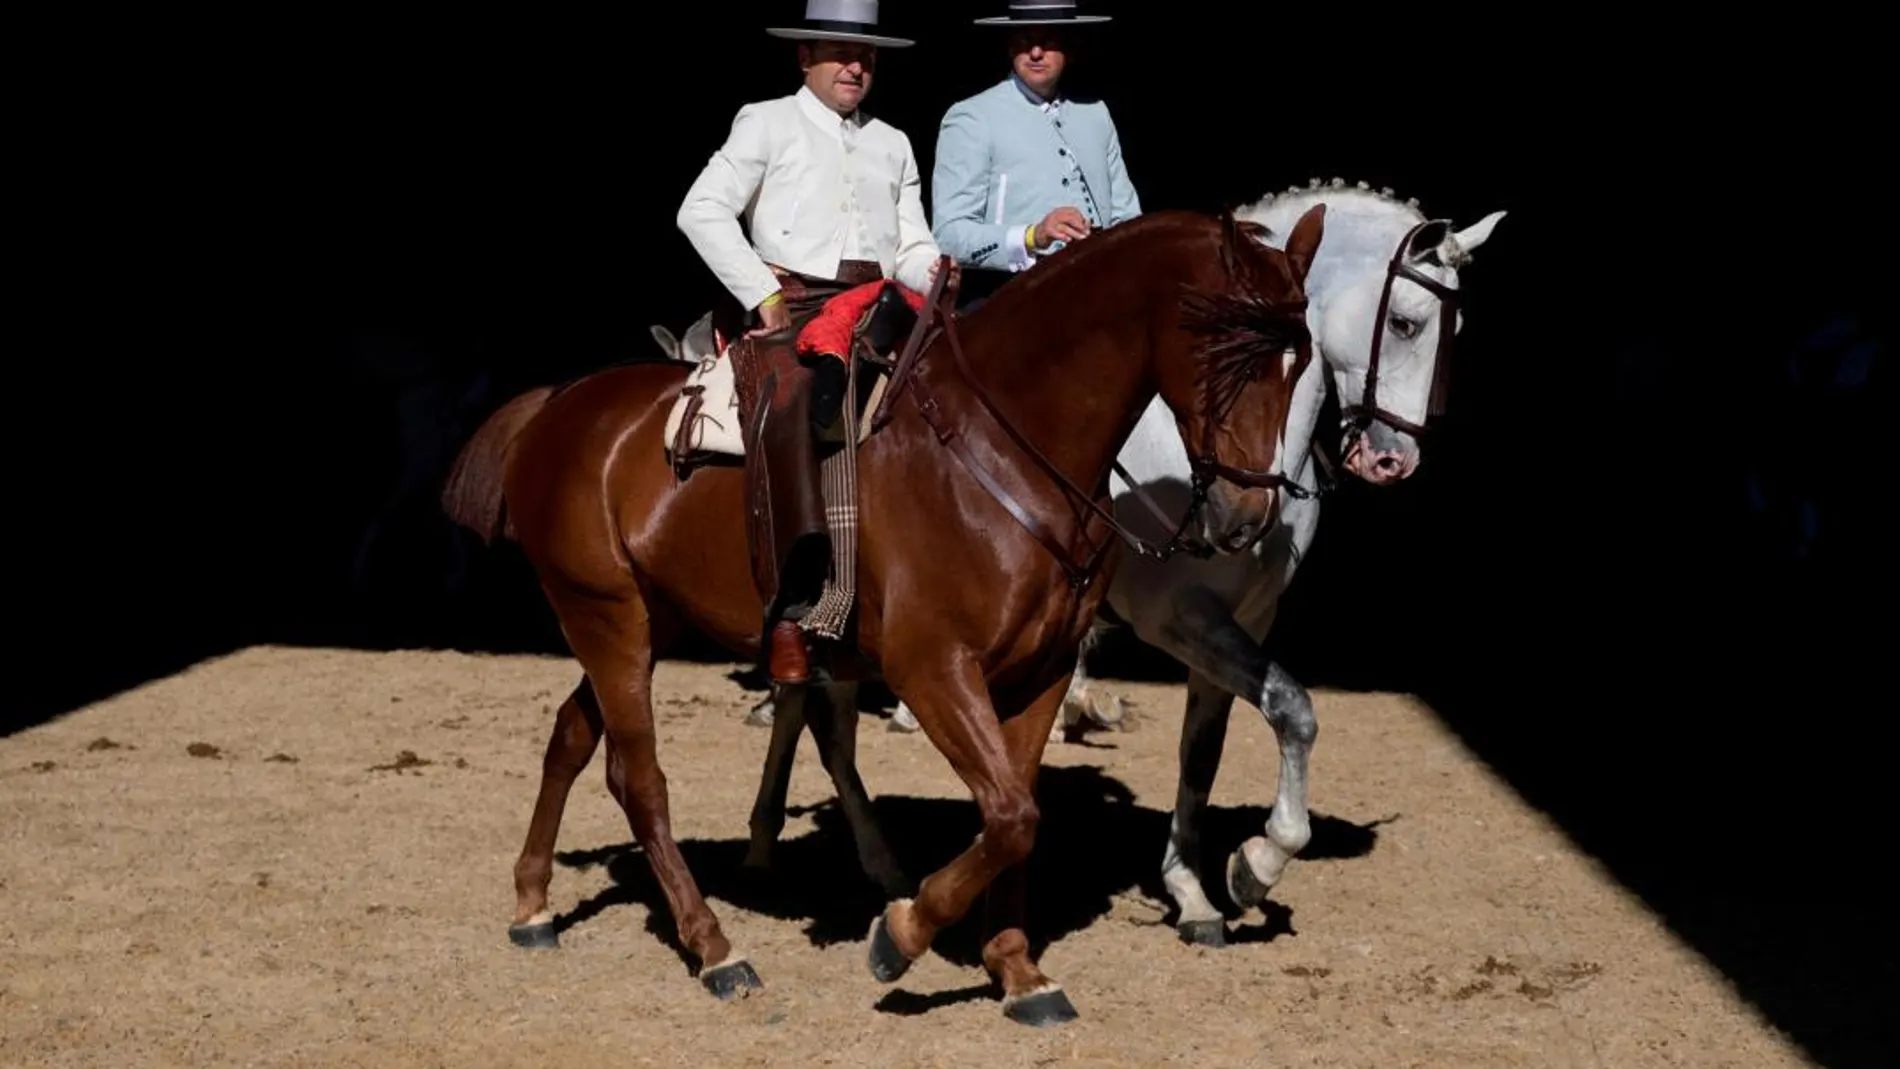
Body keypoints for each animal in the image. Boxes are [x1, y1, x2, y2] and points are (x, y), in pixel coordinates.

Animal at [438, 203, 1330, 1025]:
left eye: (1300, 365)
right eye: (1227, 352)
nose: (1246, 517)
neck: (1002, 446)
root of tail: (558, 404)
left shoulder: (1042, 669)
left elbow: (1016, 809)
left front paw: (1019, 971)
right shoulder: (931, 666)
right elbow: (1010, 814)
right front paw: (900, 934)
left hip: (645, 622)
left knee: (573, 736)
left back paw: (532, 903)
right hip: (609, 619)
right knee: (640, 777)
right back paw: (716, 946)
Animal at [661, 184, 1504, 937]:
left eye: (1455, 331)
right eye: (1407, 322)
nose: (1392, 458)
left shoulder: (1246, 618)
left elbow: (1211, 747)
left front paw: (1197, 886)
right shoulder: (1178, 615)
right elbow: (1293, 708)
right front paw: (1255, 864)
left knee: (814, 704)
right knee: (815, 708)